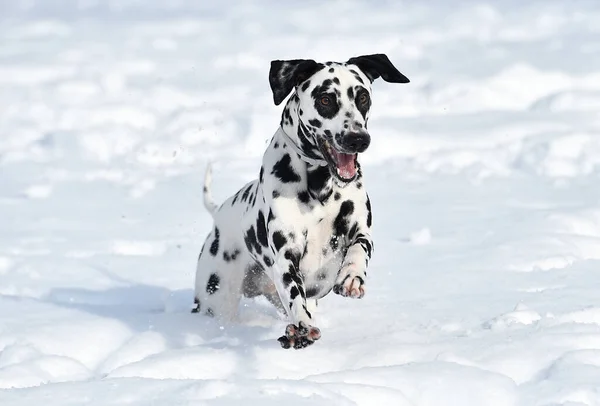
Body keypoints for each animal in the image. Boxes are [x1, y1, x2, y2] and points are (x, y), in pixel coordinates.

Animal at [195, 52, 410, 348]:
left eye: (363, 96)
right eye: (326, 99)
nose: (357, 139)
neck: (322, 186)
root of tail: (218, 215)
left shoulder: (360, 230)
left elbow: (359, 248)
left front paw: (351, 277)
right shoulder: (287, 256)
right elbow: (296, 296)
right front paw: (302, 327)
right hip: (217, 298)